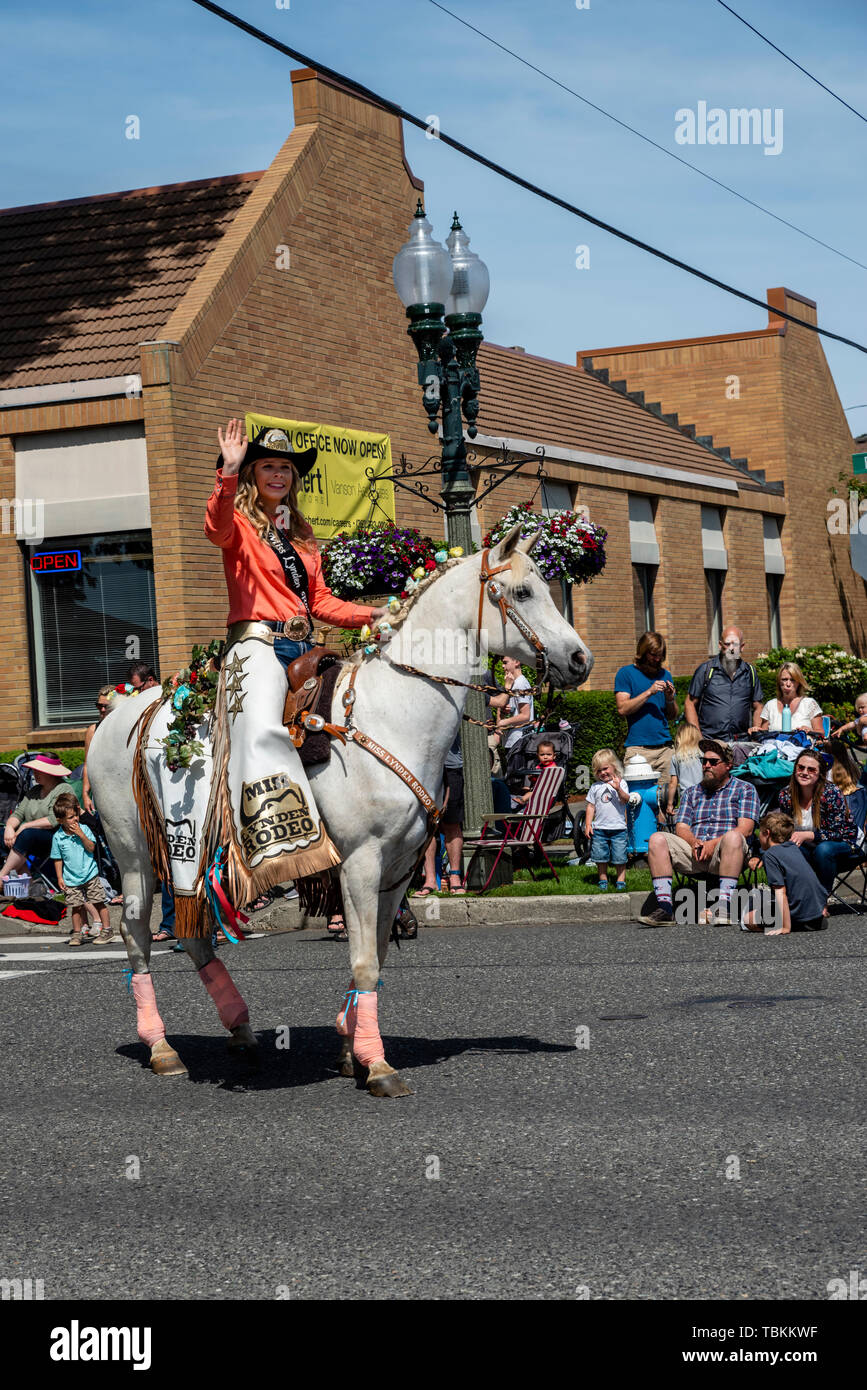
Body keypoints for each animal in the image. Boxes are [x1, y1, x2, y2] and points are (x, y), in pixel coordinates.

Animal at [88, 525, 591, 1100]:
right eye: (524, 593)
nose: (581, 660)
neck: (392, 713)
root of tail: (121, 710)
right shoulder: (361, 863)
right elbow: (366, 962)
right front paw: (378, 1064)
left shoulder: (398, 869)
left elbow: (374, 957)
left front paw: (352, 1045)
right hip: (138, 858)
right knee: (136, 936)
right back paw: (161, 1048)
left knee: (194, 936)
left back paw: (241, 1032)